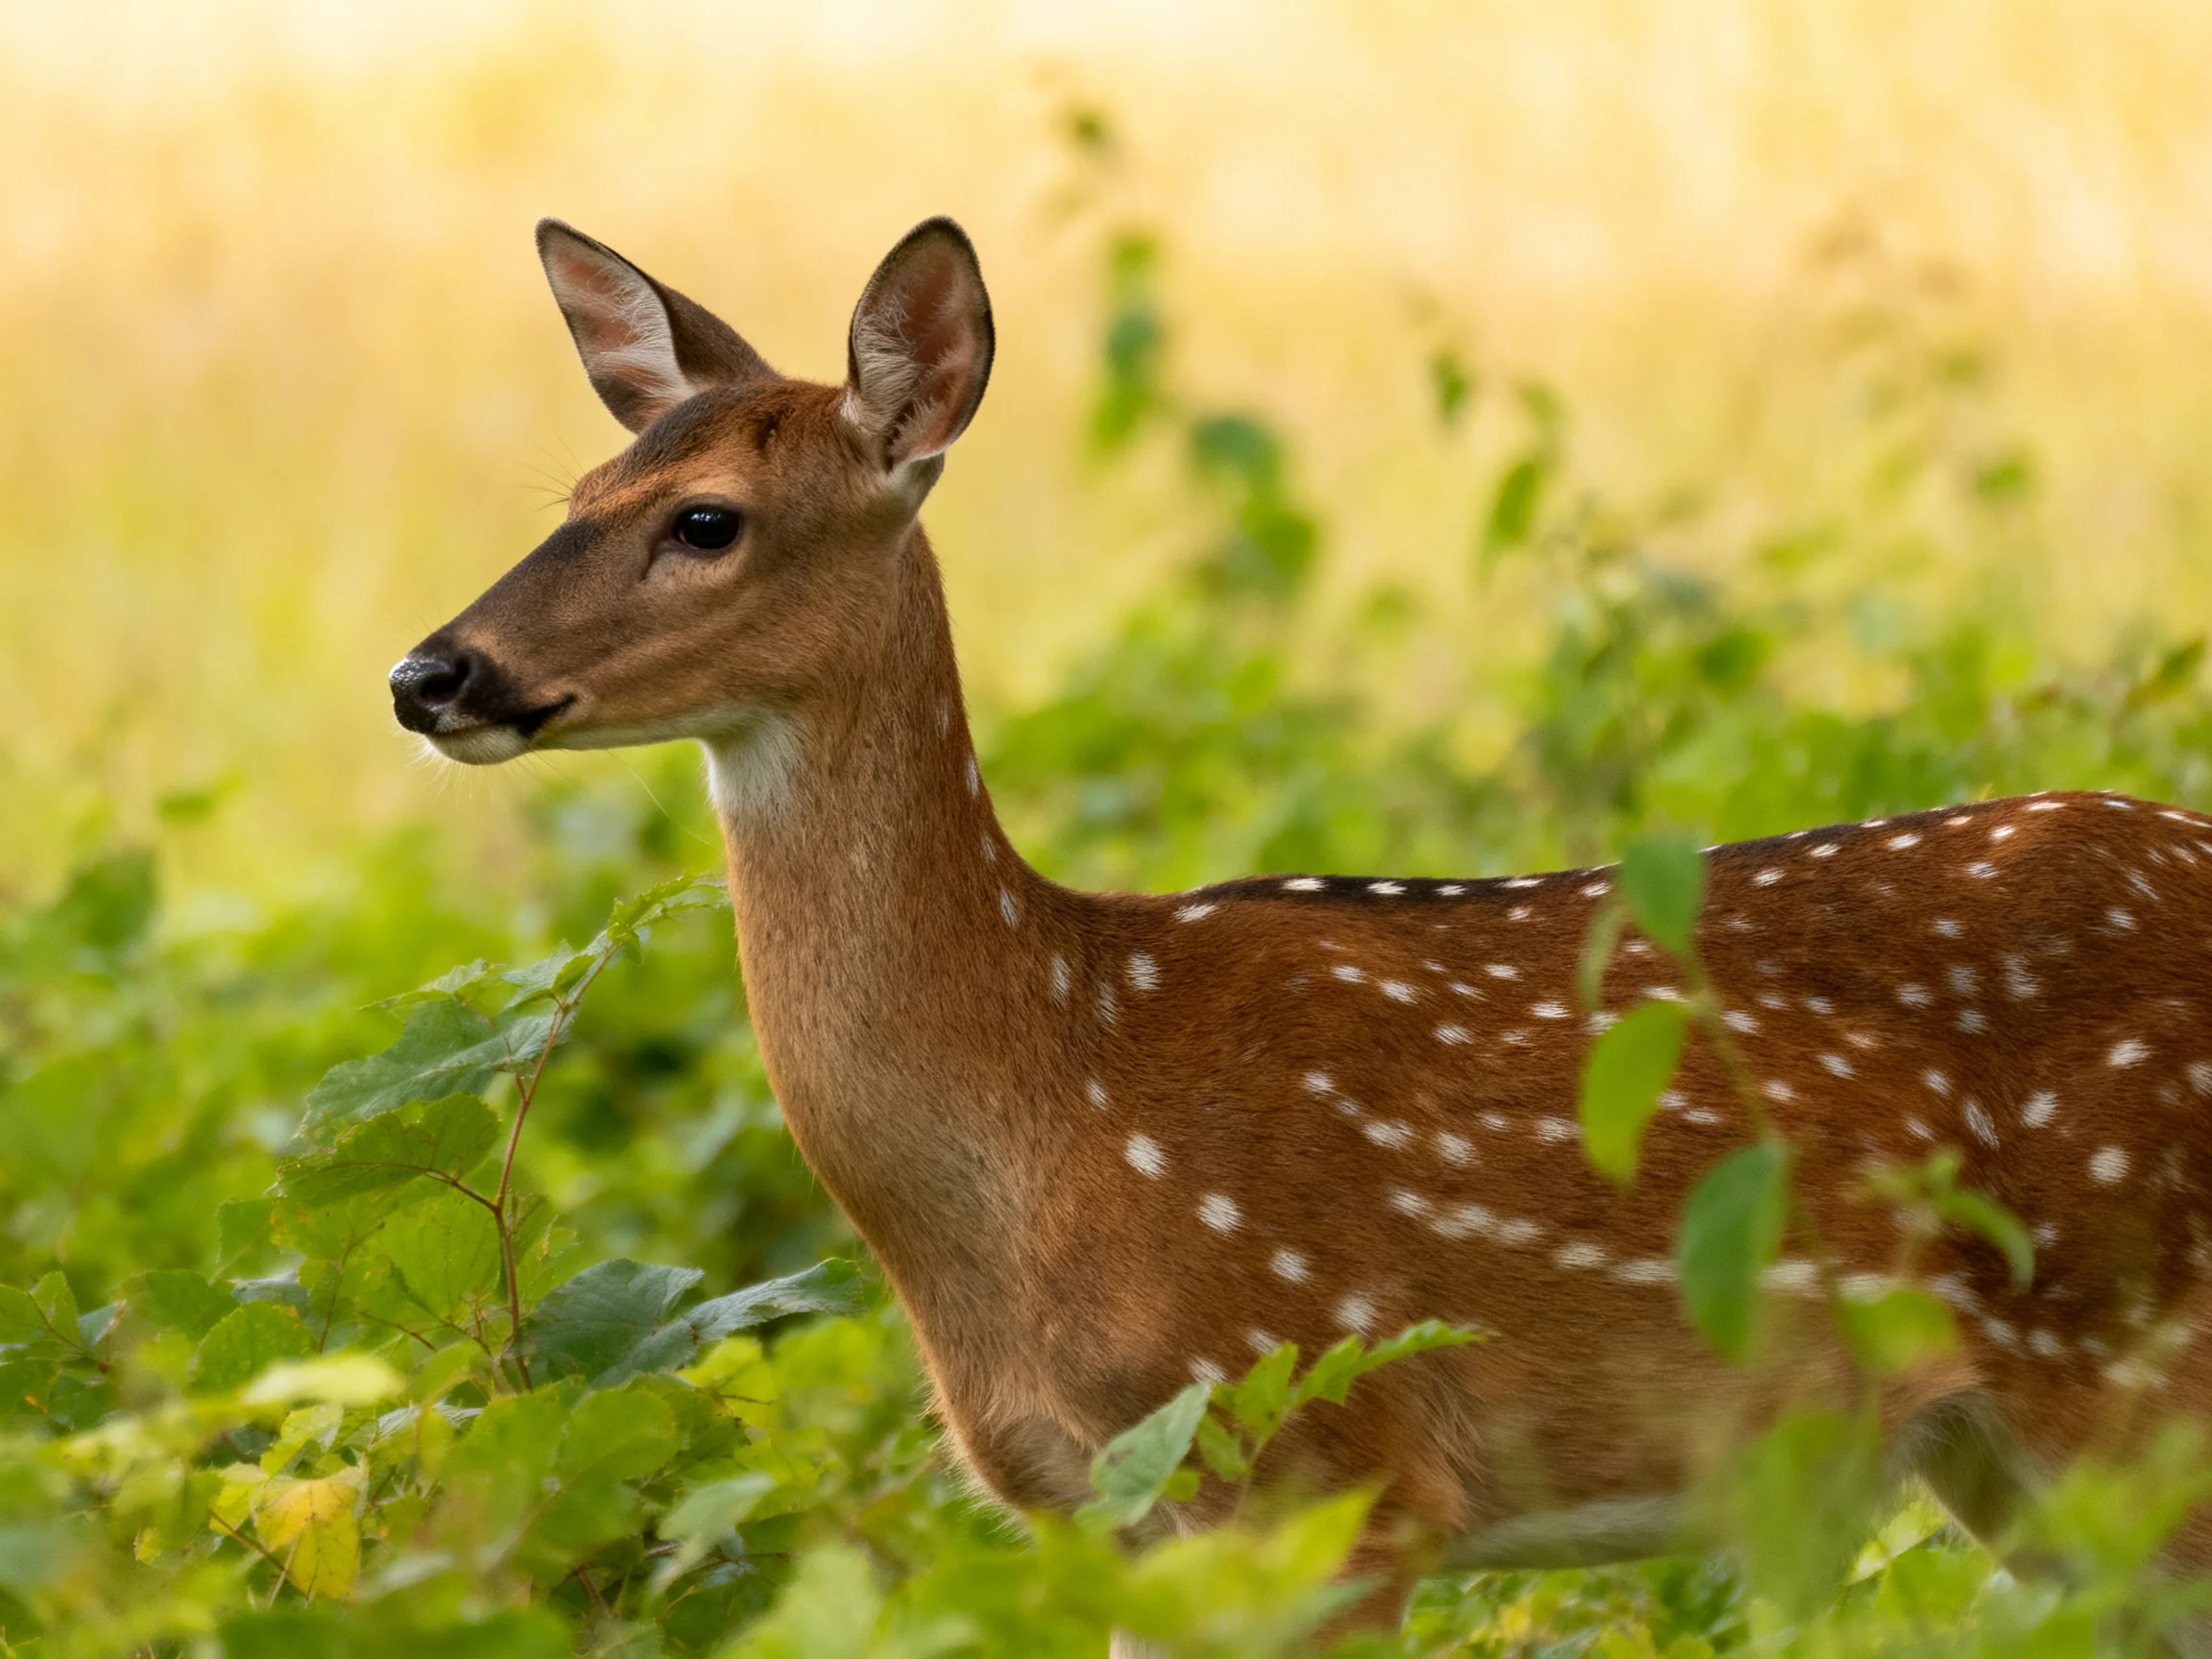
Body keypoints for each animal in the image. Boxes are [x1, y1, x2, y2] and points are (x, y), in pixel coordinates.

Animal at [389, 215, 2212, 1647]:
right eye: (576, 488)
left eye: (705, 518)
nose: (429, 673)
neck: (1052, 1104)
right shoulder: (1111, 1512)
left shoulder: (1328, 1461)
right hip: (2010, 1456)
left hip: (2140, 1372)